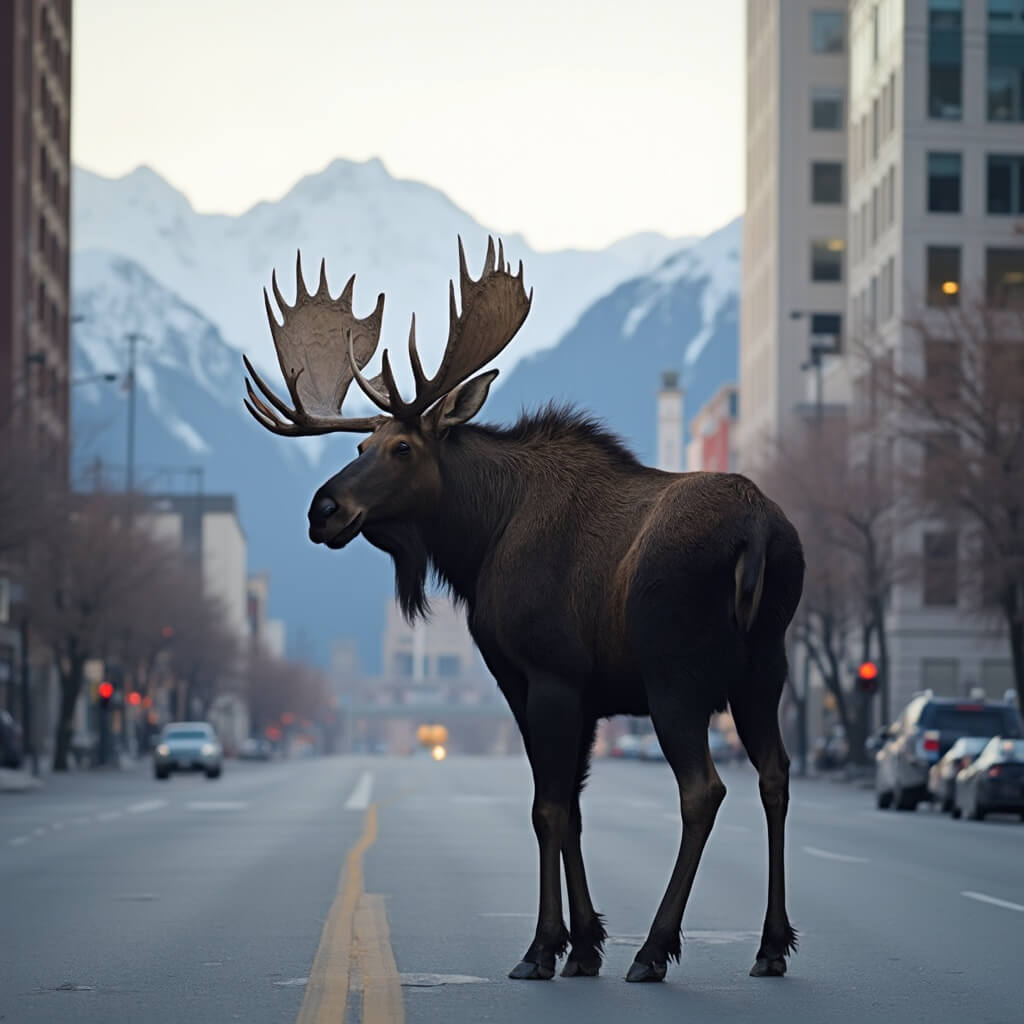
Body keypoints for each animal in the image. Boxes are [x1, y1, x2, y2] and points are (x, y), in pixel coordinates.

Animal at [242, 237, 805, 984]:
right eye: (359, 445)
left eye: (402, 447)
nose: (323, 509)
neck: (479, 540)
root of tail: (761, 532)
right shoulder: (586, 695)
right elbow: (574, 810)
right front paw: (587, 944)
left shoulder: (540, 675)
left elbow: (548, 809)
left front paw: (544, 948)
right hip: (763, 671)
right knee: (775, 776)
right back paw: (771, 945)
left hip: (675, 677)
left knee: (703, 789)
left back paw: (655, 949)